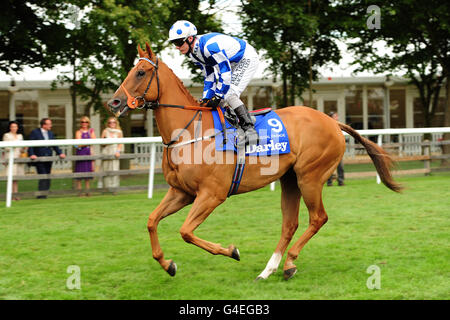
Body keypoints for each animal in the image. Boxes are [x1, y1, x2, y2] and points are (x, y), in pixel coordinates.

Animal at [108, 43, 400, 280]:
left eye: (141, 72)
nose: (114, 102)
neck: (190, 131)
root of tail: (331, 121)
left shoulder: (212, 194)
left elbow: (186, 231)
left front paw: (231, 250)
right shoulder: (182, 192)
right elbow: (151, 221)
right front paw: (167, 264)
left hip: (310, 177)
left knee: (318, 218)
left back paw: (289, 263)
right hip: (290, 179)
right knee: (289, 224)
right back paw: (269, 269)